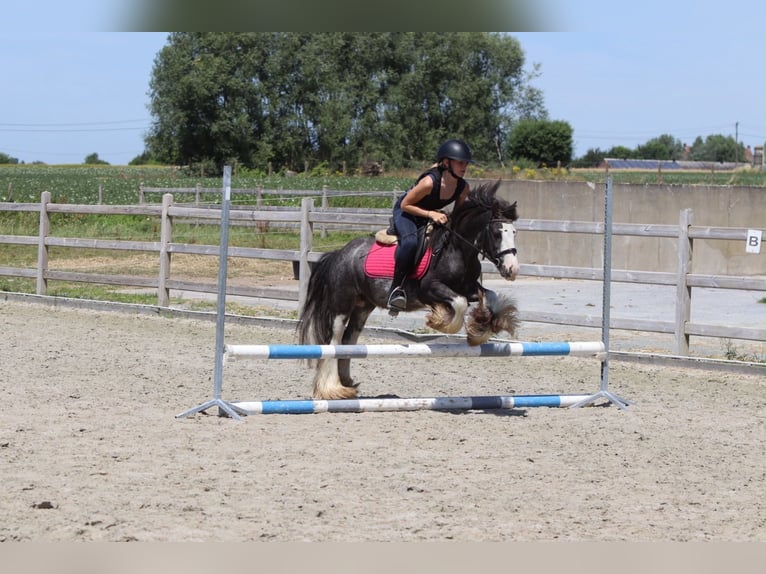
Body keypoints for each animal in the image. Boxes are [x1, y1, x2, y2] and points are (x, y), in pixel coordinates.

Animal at [297, 179, 521, 400]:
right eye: (497, 233)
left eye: (514, 233)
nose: (512, 269)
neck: (456, 249)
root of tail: (339, 254)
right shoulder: (429, 290)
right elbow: (459, 303)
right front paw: (441, 323)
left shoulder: (469, 288)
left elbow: (489, 296)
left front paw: (482, 328)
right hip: (341, 305)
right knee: (334, 340)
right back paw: (332, 389)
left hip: (363, 307)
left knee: (349, 339)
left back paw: (346, 383)